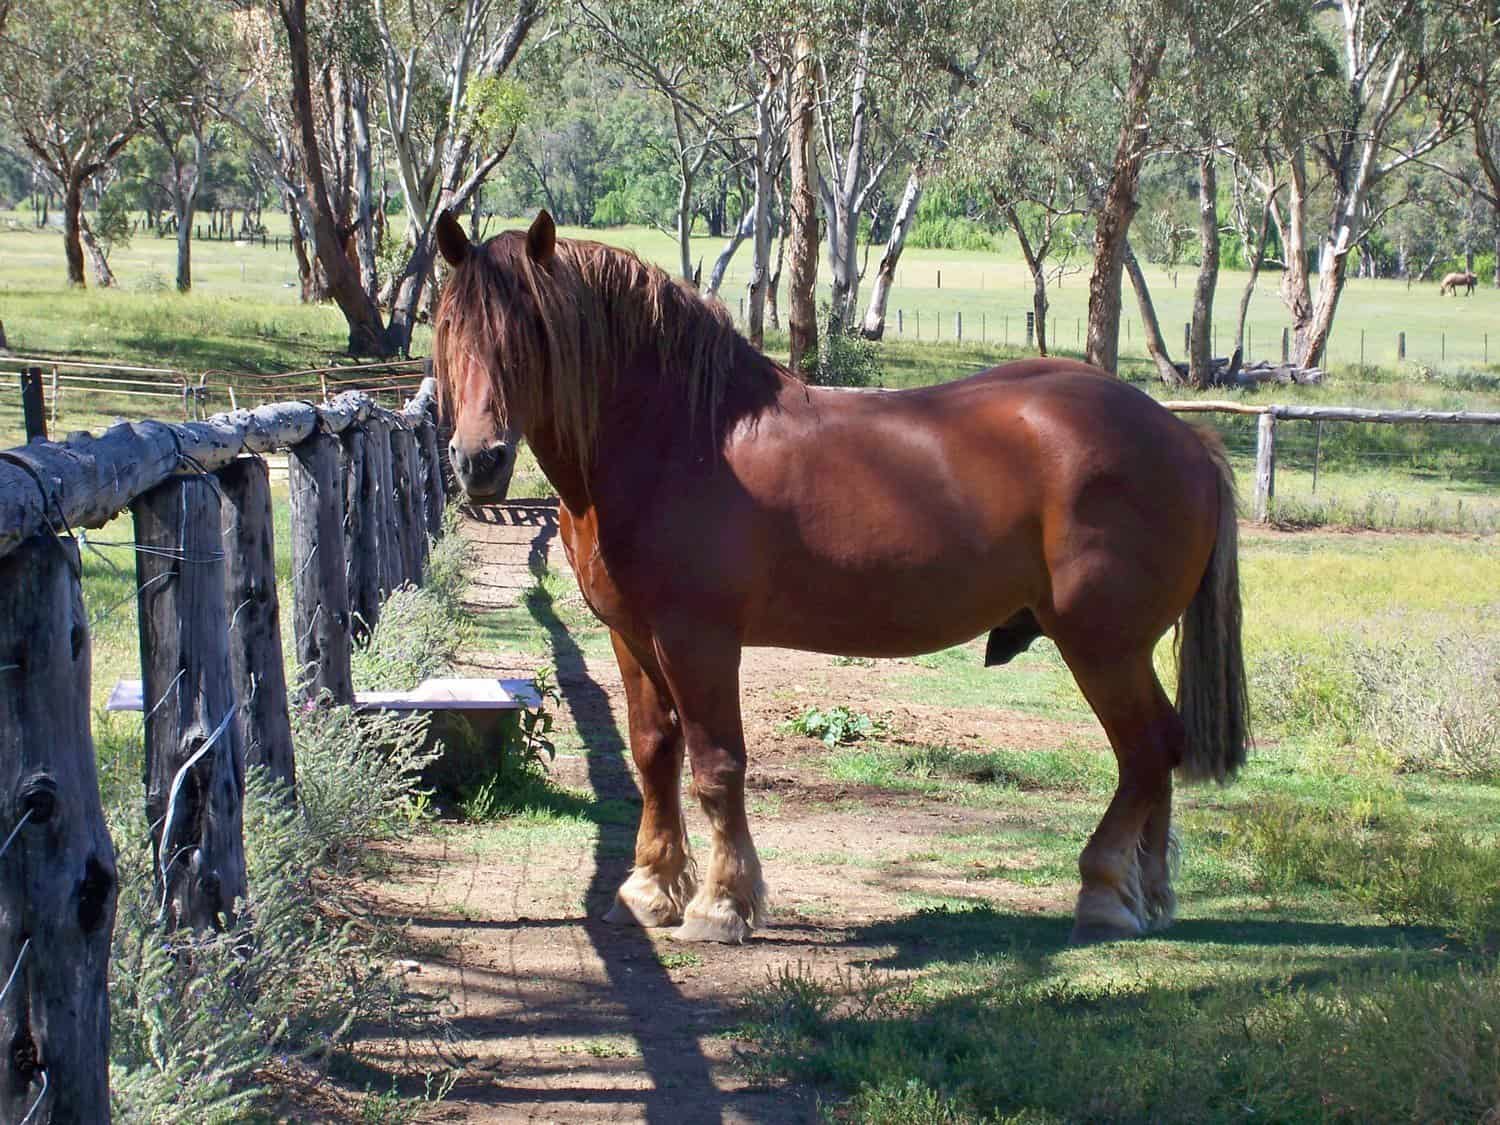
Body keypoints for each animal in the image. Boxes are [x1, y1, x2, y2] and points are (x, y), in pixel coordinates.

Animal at [432, 210, 1249, 946]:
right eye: (449, 328)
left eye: (530, 335)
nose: (479, 461)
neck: (676, 439)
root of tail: (1186, 437)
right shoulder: (632, 636)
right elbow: (654, 753)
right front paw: (648, 891)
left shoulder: (698, 640)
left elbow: (717, 764)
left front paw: (721, 906)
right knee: (1158, 752)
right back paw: (1150, 894)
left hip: (1103, 647)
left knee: (1145, 750)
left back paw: (1106, 892)